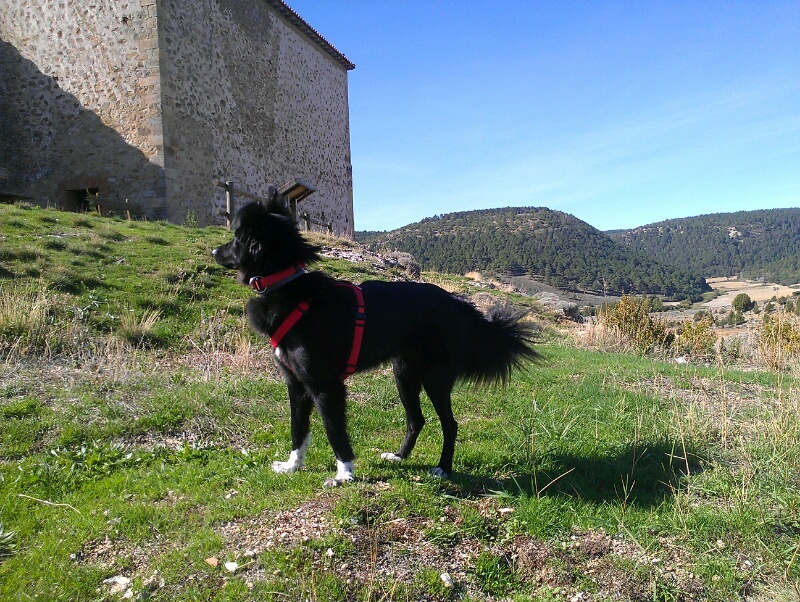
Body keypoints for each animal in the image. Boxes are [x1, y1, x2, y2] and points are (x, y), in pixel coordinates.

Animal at [212, 192, 536, 482]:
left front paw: (344, 473)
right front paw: (292, 466)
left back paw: (443, 468)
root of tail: (458, 303)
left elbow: (334, 430)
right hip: (403, 373)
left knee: (450, 424)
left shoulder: (325, 386)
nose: (214, 251)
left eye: (237, 238)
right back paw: (399, 457)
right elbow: (298, 428)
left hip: (435, 378)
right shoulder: (296, 384)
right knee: (417, 419)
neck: (288, 287)